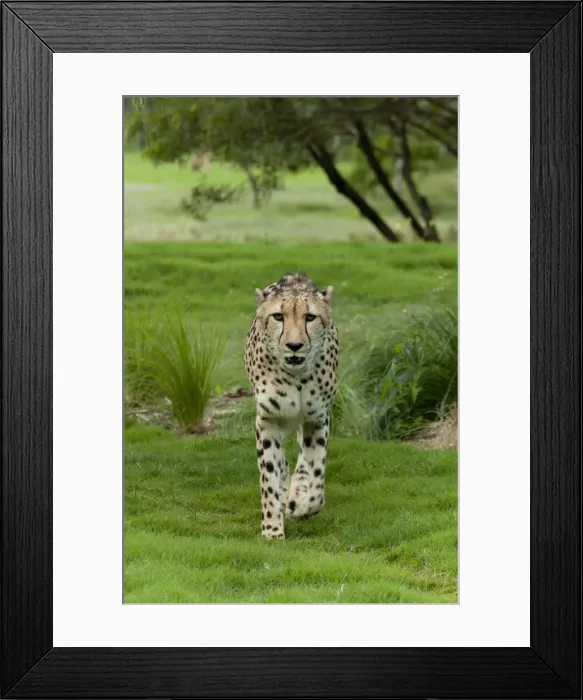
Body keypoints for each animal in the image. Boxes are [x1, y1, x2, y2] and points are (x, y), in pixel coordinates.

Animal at [244, 273, 339, 539]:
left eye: (310, 317)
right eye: (278, 316)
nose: (294, 345)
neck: (296, 376)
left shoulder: (317, 419)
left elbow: (315, 471)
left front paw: (303, 505)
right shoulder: (267, 420)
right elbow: (269, 476)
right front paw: (272, 529)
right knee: (284, 464)